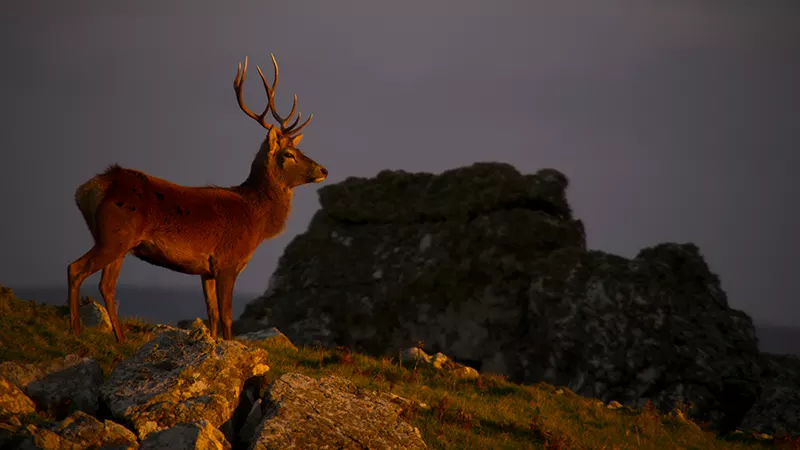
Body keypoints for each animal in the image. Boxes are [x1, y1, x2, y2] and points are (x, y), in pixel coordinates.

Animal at [68, 54, 327, 342]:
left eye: (299, 149)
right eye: (289, 154)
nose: (323, 170)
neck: (257, 219)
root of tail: (89, 188)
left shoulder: (206, 271)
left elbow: (212, 315)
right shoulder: (227, 262)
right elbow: (226, 317)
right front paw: (229, 345)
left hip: (120, 242)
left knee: (107, 285)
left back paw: (121, 340)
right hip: (114, 236)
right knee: (75, 269)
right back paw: (76, 331)